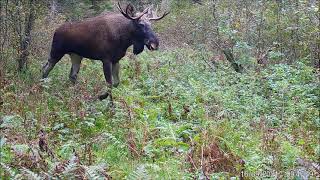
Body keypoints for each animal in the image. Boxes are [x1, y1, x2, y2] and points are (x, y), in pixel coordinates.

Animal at [41, 2, 169, 102]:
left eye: (150, 24)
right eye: (141, 24)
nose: (155, 43)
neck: (124, 39)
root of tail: (56, 30)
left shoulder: (116, 60)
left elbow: (116, 82)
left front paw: (102, 97)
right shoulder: (106, 59)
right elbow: (109, 84)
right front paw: (109, 105)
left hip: (76, 55)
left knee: (72, 75)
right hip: (56, 51)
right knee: (45, 68)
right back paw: (41, 86)